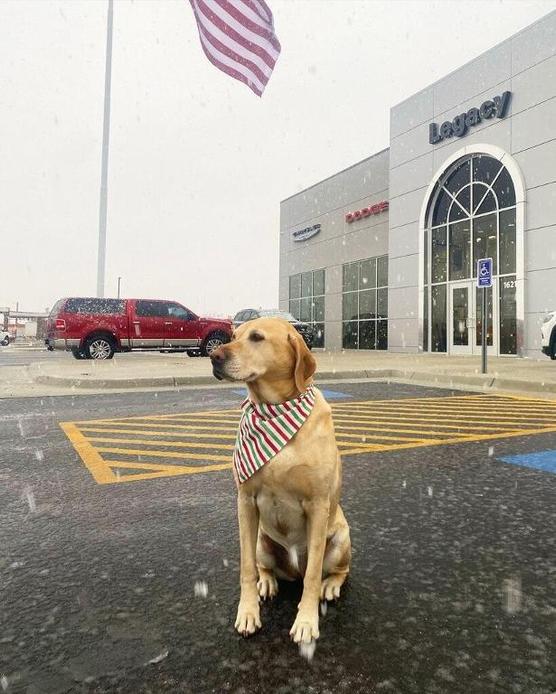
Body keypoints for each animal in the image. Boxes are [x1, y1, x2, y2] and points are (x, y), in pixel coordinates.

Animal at [211, 318, 350, 644]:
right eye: (233, 335)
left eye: (257, 337)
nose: (213, 356)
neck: (273, 410)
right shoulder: (245, 502)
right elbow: (246, 568)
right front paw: (248, 612)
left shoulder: (318, 504)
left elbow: (312, 575)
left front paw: (307, 621)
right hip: (262, 541)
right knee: (263, 566)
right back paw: (268, 582)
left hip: (341, 538)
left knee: (335, 571)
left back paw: (330, 585)